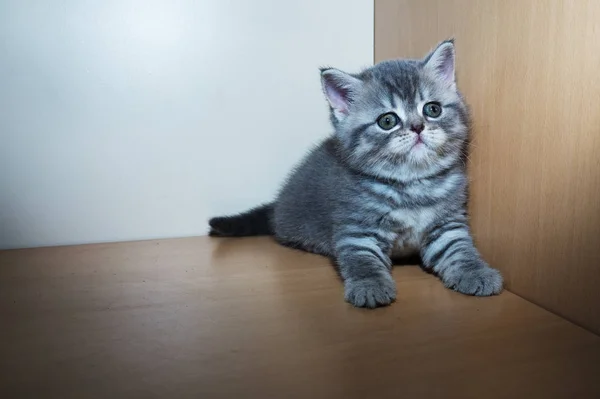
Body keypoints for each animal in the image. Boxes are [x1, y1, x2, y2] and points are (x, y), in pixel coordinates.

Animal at [209, 40, 504, 308]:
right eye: (387, 120)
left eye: (433, 109)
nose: (418, 127)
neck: (412, 184)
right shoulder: (356, 229)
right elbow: (363, 260)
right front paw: (370, 286)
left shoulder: (447, 225)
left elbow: (459, 249)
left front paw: (477, 272)